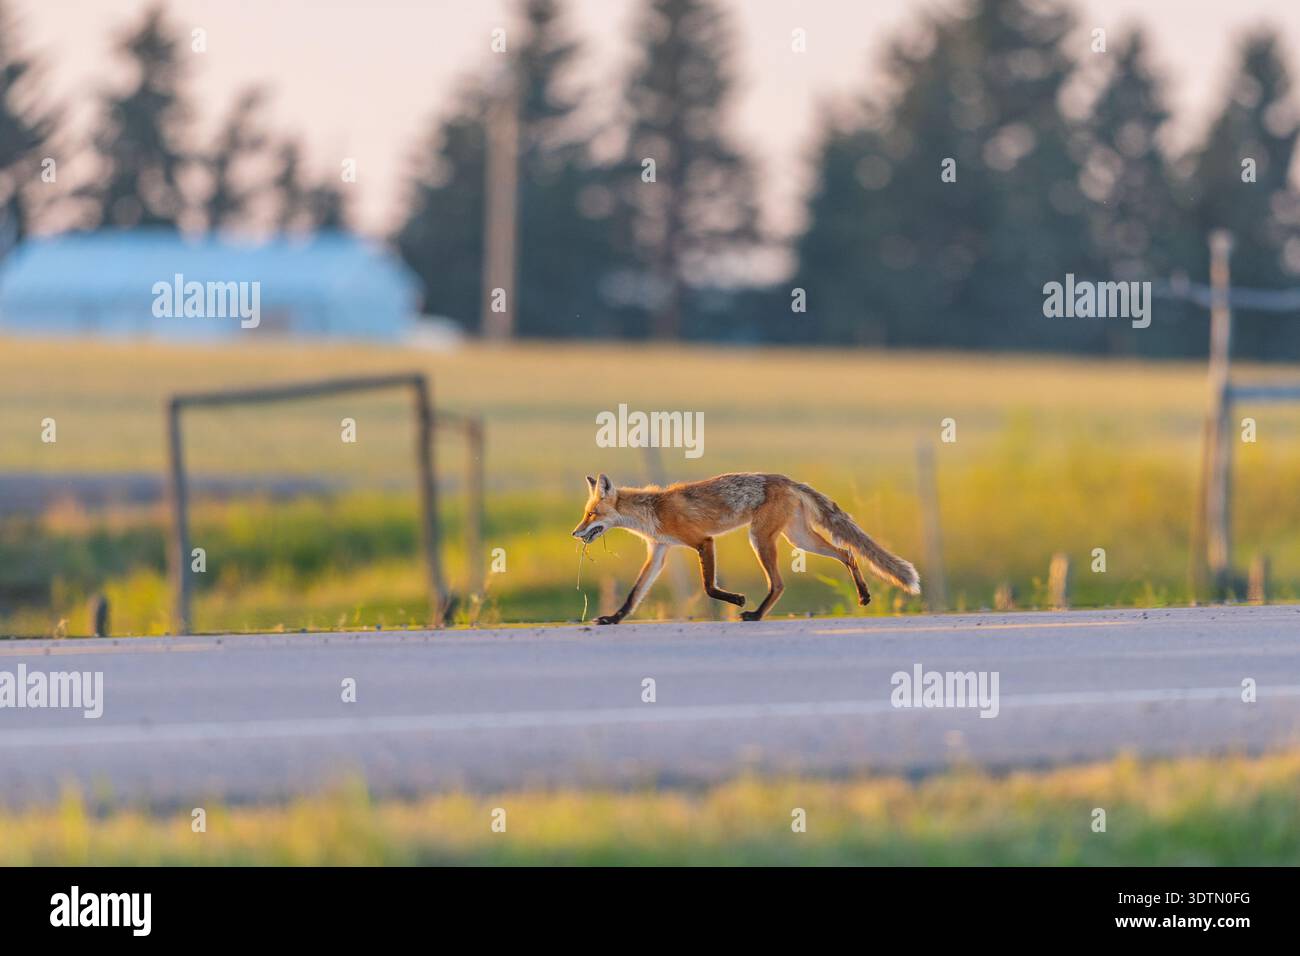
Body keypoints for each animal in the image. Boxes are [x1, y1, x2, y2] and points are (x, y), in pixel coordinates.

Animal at [571, 472, 920, 624]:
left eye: (591, 514)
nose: (575, 533)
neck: (652, 511)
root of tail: (788, 479)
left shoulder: (702, 541)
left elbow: (709, 586)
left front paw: (737, 599)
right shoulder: (659, 551)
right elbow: (634, 594)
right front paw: (613, 619)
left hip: (760, 538)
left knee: (778, 583)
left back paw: (755, 614)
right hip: (799, 539)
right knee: (848, 553)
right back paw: (863, 595)